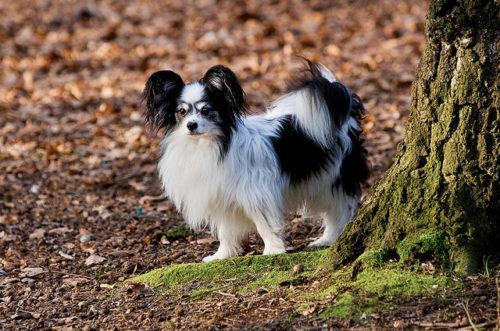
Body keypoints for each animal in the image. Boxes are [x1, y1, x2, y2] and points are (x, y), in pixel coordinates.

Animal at [143, 59, 370, 262]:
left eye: (206, 111)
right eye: (181, 112)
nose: (191, 125)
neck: (208, 145)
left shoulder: (257, 193)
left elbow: (264, 225)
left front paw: (272, 251)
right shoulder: (222, 198)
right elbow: (225, 231)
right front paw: (222, 255)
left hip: (333, 178)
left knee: (340, 208)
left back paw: (330, 238)